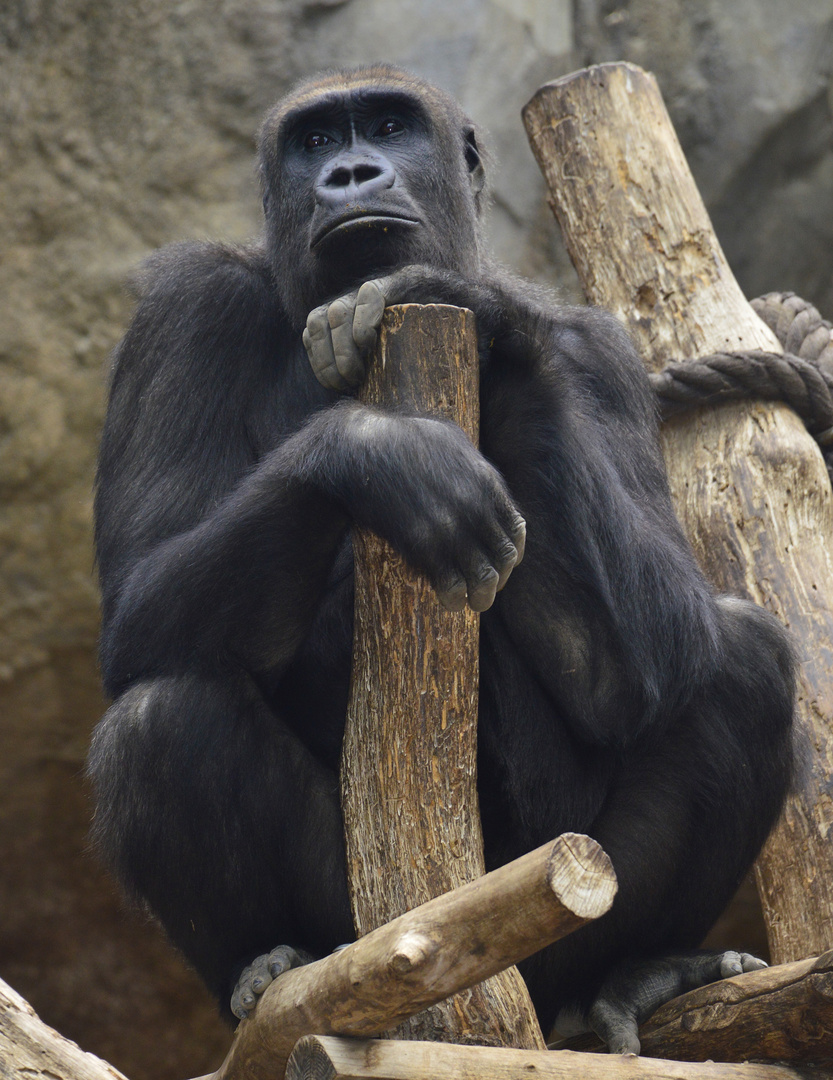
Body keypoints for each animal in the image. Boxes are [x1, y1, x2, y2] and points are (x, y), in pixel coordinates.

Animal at [88, 63, 799, 1049]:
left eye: (389, 126)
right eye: (315, 141)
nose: (350, 172)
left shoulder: (598, 348)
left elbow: (645, 663)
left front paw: (485, 325)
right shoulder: (184, 309)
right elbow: (139, 607)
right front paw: (374, 451)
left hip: (557, 903)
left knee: (743, 660)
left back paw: (638, 972)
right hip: (379, 931)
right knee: (159, 719)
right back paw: (269, 964)